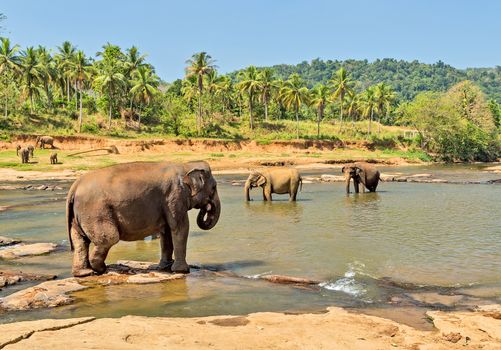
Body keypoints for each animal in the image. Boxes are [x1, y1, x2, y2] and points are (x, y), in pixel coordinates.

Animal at [65, 160, 220, 278]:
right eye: (214, 187)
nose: (207, 207)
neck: (185, 165)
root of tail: (75, 186)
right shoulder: (175, 196)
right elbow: (180, 227)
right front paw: (182, 271)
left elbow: (166, 231)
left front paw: (165, 267)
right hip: (96, 211)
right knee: (109, 238)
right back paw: (102, 269)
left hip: (80, 215)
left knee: (80, 241)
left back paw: (84, 273)